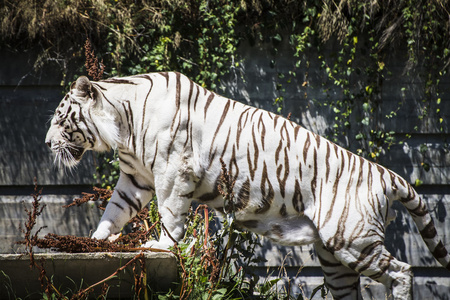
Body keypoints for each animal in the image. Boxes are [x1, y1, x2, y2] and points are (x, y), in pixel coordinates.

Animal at [46, 72, 450, 300]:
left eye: (59, 119)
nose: (48, 143)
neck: (123, 124)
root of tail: (385, 174)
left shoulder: (172, 171)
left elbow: (171, 213)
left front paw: (161, 245)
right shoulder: (136, 177)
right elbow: (114, 210)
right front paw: (98, 240)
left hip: (353, 240)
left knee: (402, 271)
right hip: (334, 258)